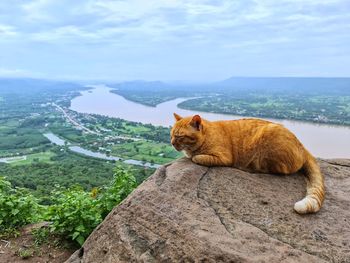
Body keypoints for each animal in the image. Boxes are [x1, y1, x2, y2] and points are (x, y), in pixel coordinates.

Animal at [171, 113, 324, 214]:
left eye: (179, 136)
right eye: (171, 134)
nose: (171, 143)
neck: (206, 135)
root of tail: (302, 146)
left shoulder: (223, 157)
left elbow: (197, 158)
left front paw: (194, 156)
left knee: (279, 169)